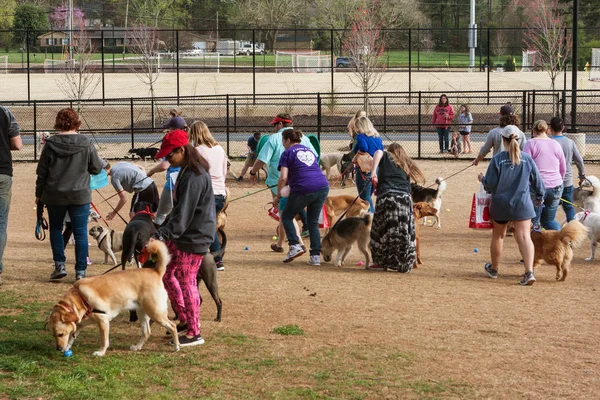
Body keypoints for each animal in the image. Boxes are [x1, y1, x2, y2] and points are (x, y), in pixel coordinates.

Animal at [48, 239, 179, 358]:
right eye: (53, 335)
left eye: (60, 334)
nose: (58, 349)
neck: (80, 298)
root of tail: (156, 272)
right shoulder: (80, 325)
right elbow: (72, 337)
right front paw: (67, 347)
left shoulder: (103, 321)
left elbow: (104, 340)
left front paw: (101, 352)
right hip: (142, 313)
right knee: (147, 332)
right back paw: (137, 347)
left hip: (155, 312)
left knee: (172, 326)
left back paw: (176, 346)